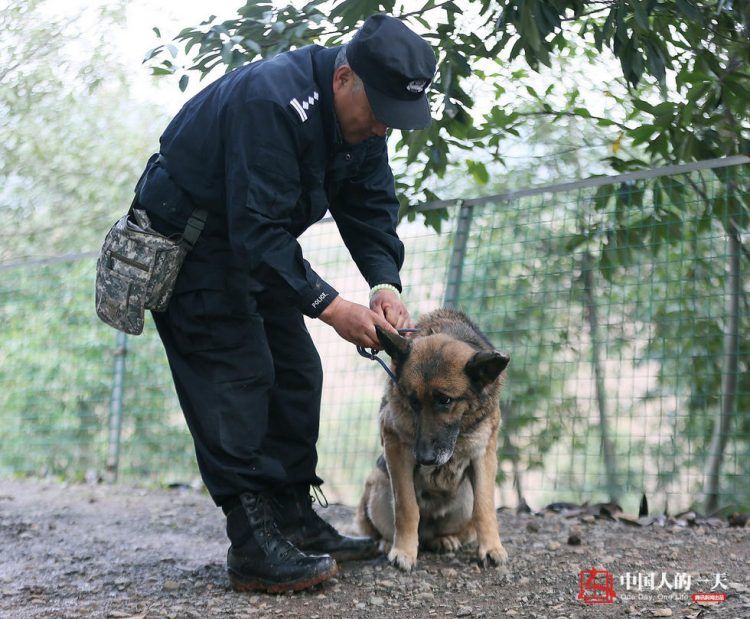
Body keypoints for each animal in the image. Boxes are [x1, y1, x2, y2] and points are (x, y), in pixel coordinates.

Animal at [356, 310, 512, 572]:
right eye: (413, 401)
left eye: (445, 400)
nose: (425, 458)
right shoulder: (396, 446)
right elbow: (406, 507)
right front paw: (404, 551)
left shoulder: (484, 454)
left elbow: (484, 507)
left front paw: (491, 548)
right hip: (378, 482)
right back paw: (388, 542)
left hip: (465, 496)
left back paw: (445, 539)